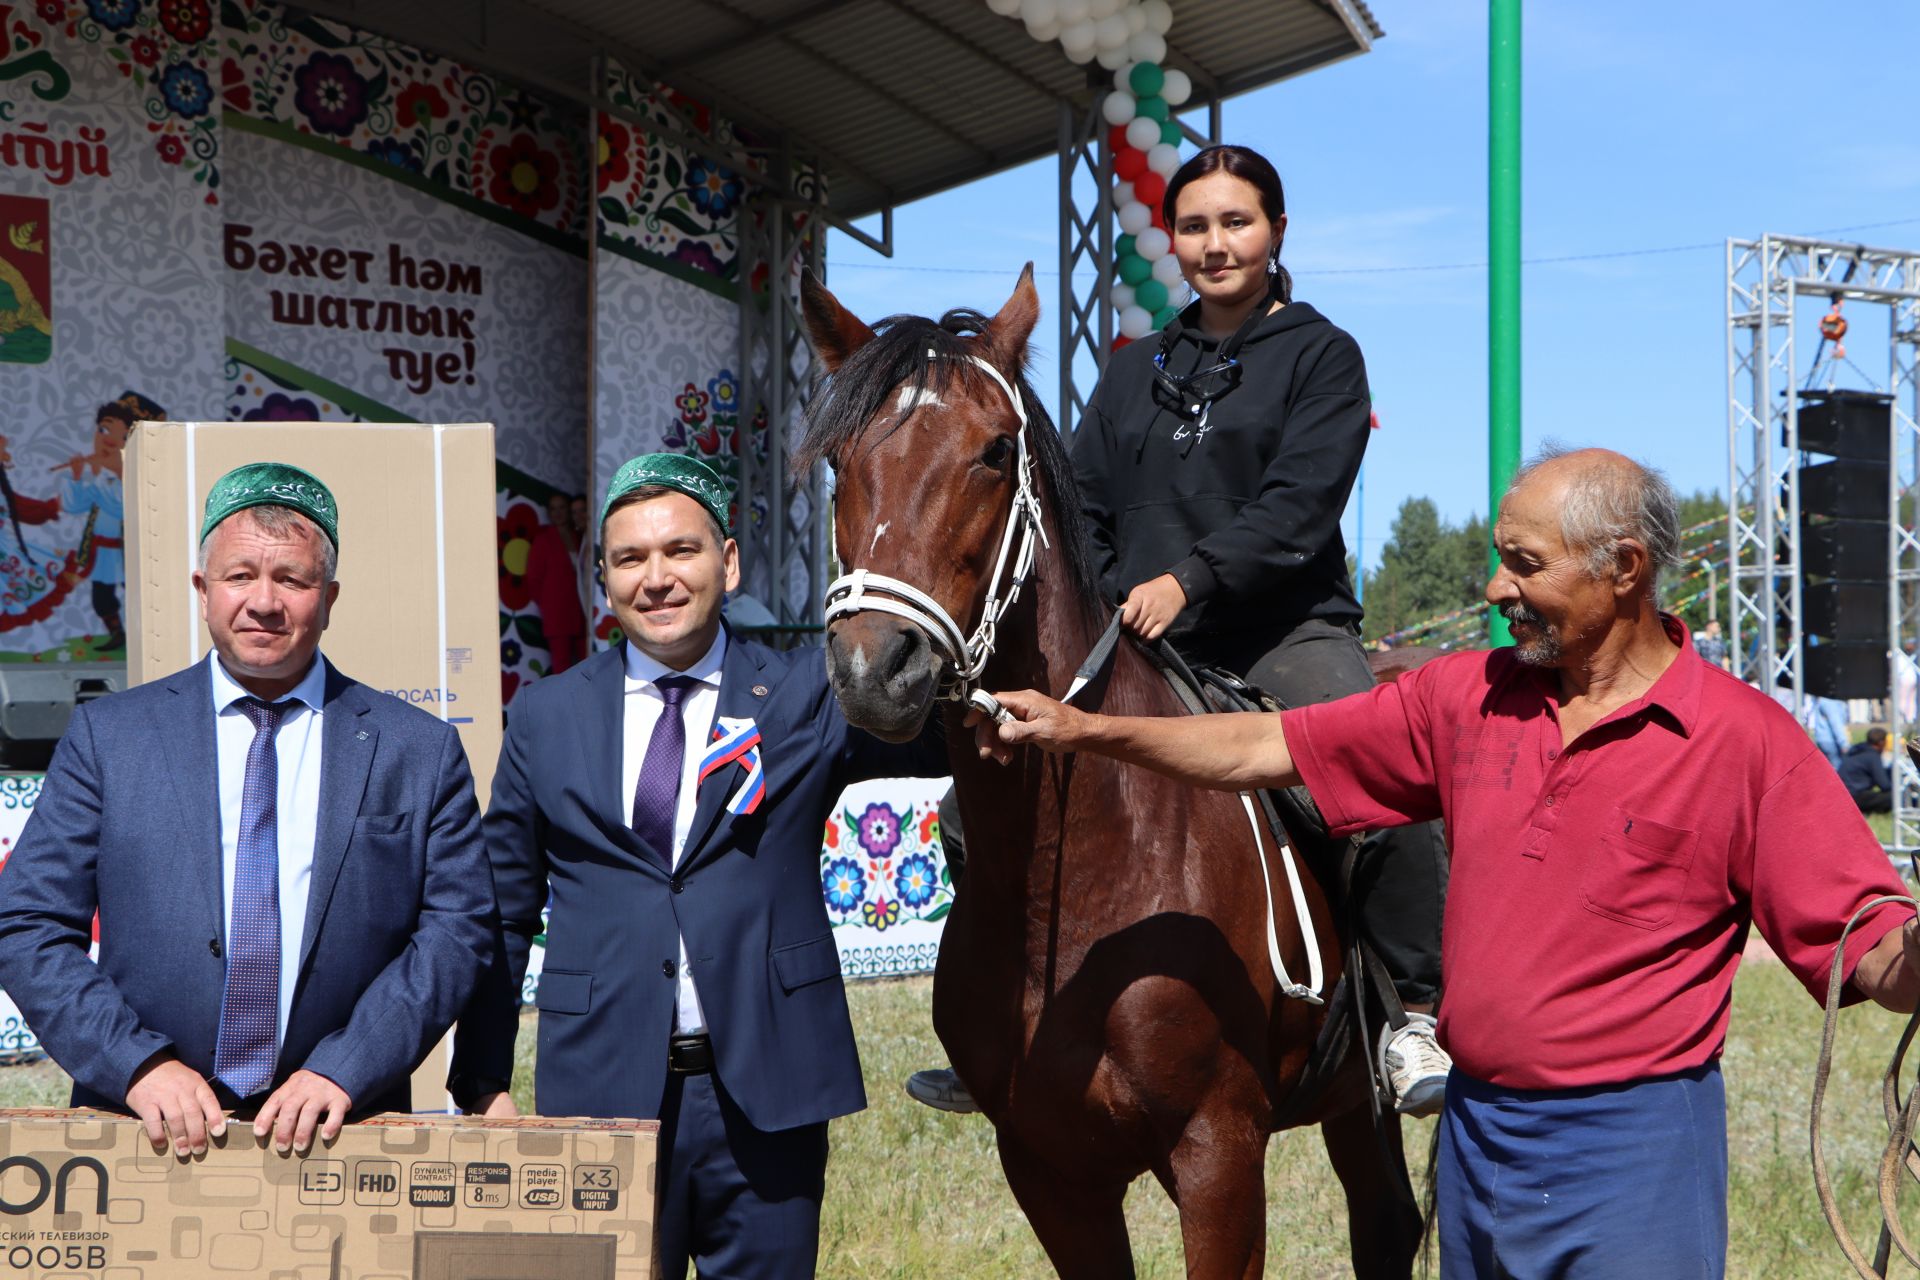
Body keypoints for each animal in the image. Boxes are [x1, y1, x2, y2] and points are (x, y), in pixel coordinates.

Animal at [798, 264, 1428, 1274]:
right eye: (837, 458)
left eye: (994, 450)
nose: (874, 667)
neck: (1091, 861)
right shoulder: (1050, 1170)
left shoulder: (1219, 1155)